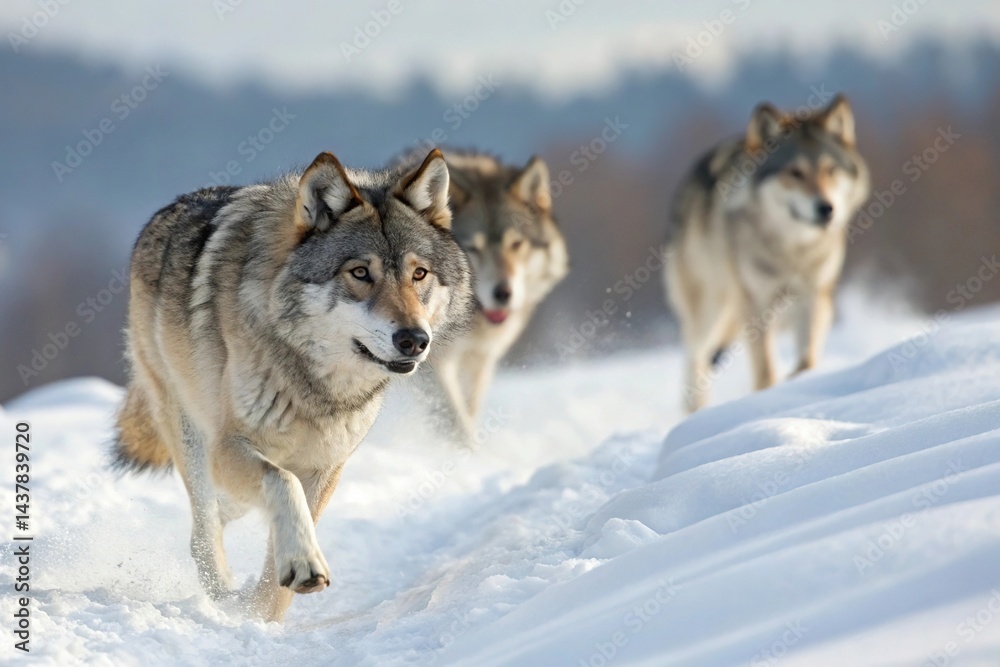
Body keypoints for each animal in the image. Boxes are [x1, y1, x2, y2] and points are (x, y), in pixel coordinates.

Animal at [113, 149, 474, 622]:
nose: (414, 340)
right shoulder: (230, 446)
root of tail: (166, 212)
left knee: (222, 513)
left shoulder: (326, 466)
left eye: (419, 274)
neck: (314, 385)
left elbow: (278, 562)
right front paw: (294, 572)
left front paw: (262, 615)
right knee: (204, 528)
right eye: (361, 272)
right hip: (190, 432)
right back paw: (221, 591)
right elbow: (281, 484)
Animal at [407, 151, 568, 442]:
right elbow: (454, 418)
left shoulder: (479, 361)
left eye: (516, 244)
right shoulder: (430, 363)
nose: (502, 293)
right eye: (473, 248)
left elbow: (469, 411)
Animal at [664, 94, 870, 412]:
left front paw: (800, 384)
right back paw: (696, 410)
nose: (826, 208)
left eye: (829, 170)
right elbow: (765, 370)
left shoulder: (814, 295)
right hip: (711, 308)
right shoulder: (755, 302)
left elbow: (807, 358)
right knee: (696, 355)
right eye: (795, 172)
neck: (792, 249)